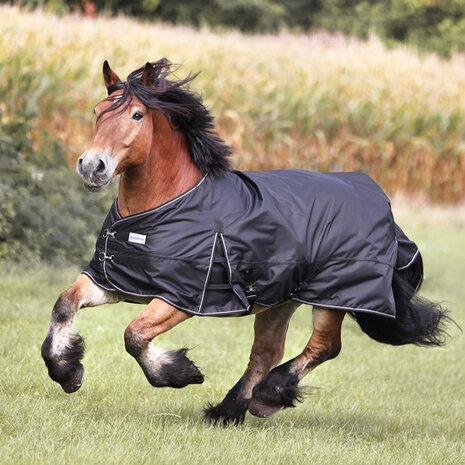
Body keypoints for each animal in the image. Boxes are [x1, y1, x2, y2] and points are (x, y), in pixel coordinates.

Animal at [40, 58, 450, 424]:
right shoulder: (115, 282)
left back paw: (267, 396)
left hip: (332, 295)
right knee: (266, 352)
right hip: (281, 299)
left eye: (137, 115)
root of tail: (379, 198)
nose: (92, 166)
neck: (163, 208)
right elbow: (64, 304)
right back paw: (230, 410)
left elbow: (134, 335)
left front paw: (182, 373)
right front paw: (67, 373)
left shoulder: (182, 296)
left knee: (323, 347)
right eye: (97, 111)